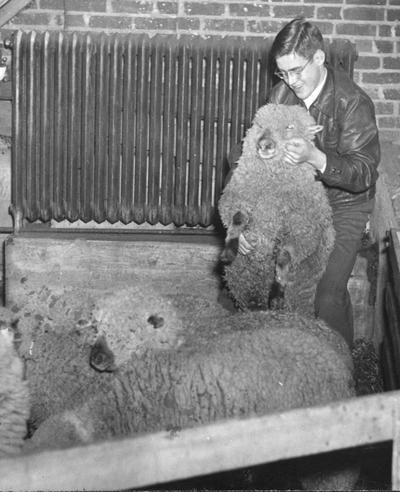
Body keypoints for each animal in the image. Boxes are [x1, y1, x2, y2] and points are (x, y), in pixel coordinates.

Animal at [219, 103, 334, 316]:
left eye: (290, 127)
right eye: (258, 124)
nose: (264, 144)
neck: (270, 188)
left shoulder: (303, 232)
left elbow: (284, 256)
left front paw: (277, 293)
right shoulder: (238, 200)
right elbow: (237, 218)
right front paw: (229, 250)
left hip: (302, 289)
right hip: (243, 281)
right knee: (251, 301)